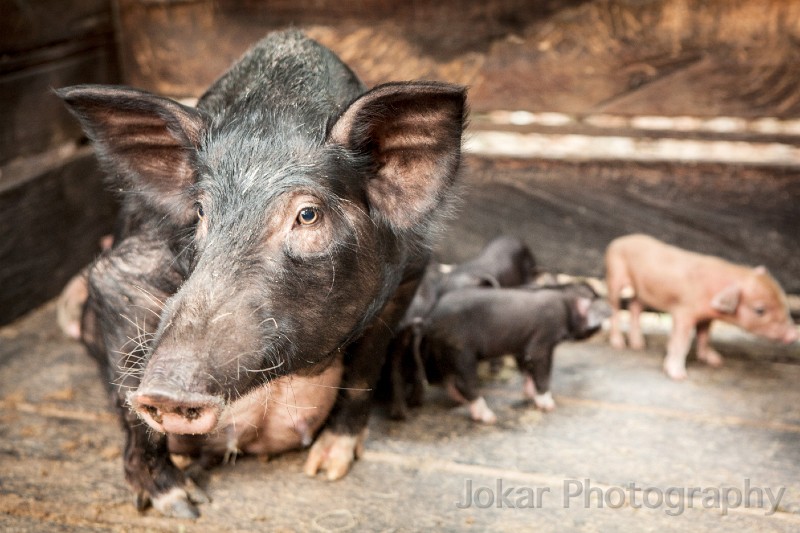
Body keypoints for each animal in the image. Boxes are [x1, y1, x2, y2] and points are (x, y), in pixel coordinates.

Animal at [59, 31, 466, 516]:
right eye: (201, 211)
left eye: (307, 215)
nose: (166, 390)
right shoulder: (122, 272)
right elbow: (129, 392)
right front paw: (183, 505)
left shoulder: (410, 268)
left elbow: (364, 371)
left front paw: (326, 468)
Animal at [418, 282, 608, 424]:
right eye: (594, 298)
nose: (607, 313)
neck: (566, 303)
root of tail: (431, 317)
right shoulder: (542, 340)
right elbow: (542, 373)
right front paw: (548, 404)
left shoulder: (522, 346)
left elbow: (527, 368)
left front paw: (530, 393)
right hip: (462, 350)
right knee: (464, 382)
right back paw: (488, 417)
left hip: (444, 350)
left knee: (446, 378)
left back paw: (461, 400)